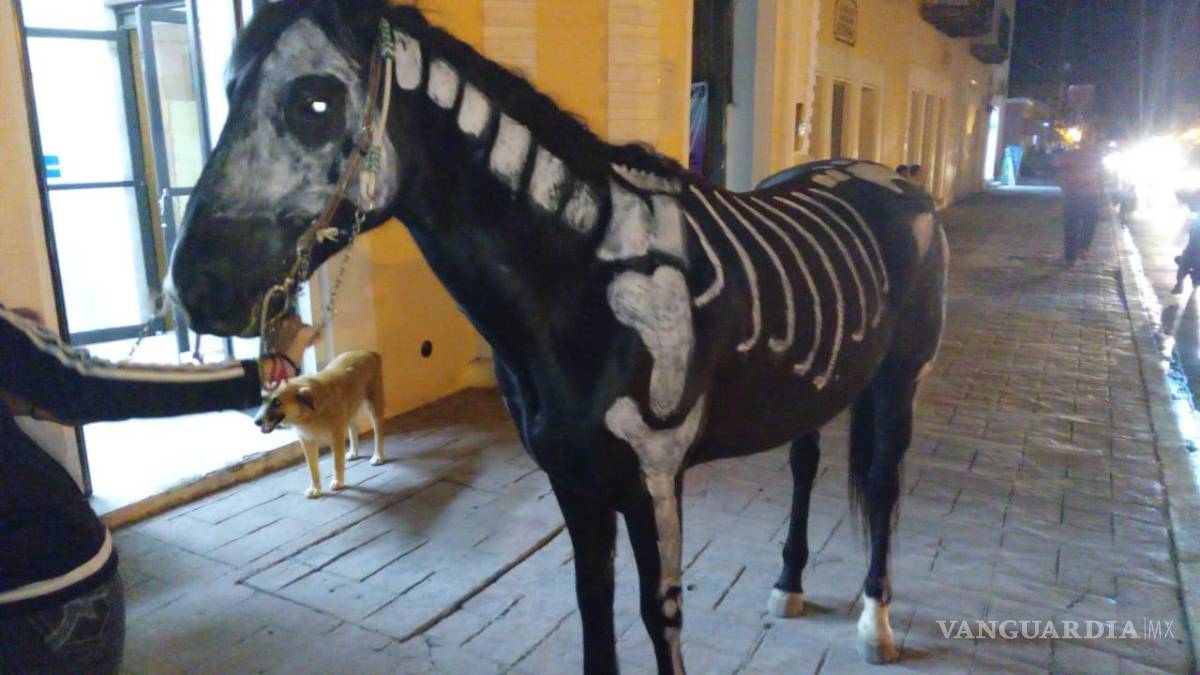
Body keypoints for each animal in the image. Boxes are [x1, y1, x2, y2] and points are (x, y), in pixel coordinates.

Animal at [165, 1, 947, 671]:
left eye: (315, 102)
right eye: (228, 91)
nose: (194, 286)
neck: (581, 283)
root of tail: (897, 183)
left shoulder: (654, 476)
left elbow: (659, 614)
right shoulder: (572, 476)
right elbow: (593, 607)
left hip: (900, 380)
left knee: (882, 486)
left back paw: (875, 624)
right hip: (815, 385)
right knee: (806, 464)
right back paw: (788, 584)